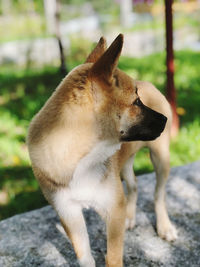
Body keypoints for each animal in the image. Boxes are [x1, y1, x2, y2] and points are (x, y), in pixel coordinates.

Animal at [27, 34, 177, 267]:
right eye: (136, 102)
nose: (165, 118)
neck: (80, 158)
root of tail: (149, 83)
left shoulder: (113, 211)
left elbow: (113, 257)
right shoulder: (69, 214)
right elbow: (84, 256)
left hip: (160, 158)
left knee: (158, 194)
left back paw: (164, 226)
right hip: (125, 164)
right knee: (133, 186)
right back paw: (130, 217)